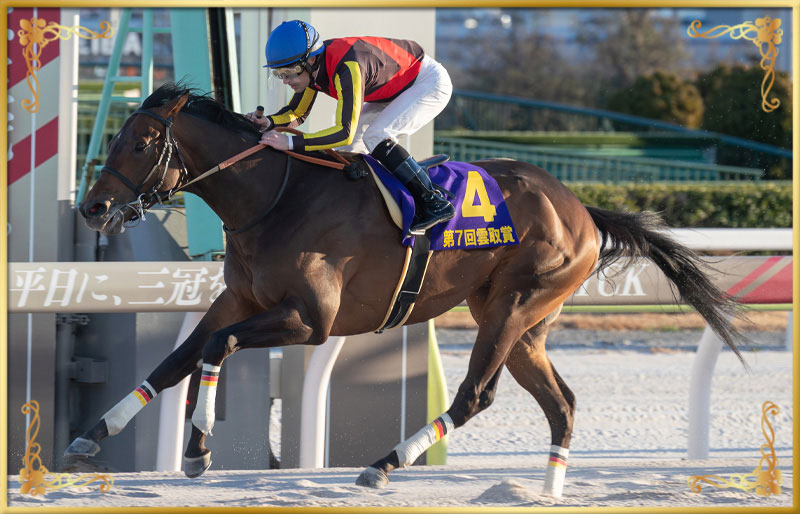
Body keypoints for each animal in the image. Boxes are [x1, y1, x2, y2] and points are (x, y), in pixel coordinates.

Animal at [66, 82, 746, 498]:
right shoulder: (240, 300)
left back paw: (382, 465)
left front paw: (200, 448)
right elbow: (176, 358)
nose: (92, 208)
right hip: (526, 323)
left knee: (475, 395)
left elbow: (214, 350)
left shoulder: (311, 320)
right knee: (563, 404)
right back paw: (547, 492)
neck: (275, 198)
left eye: (143, 142)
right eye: (116, 136)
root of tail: (579, 206)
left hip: (513, 305)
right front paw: (92, 434)